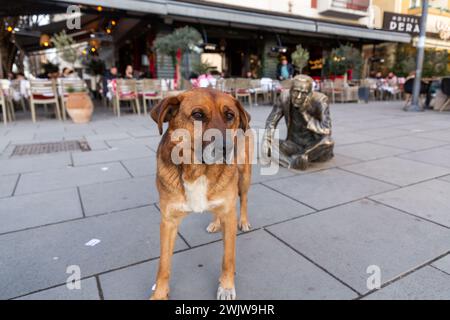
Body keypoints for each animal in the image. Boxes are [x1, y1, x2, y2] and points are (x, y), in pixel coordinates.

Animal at [149, 87, 251, 300]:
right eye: (197, 115)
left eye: (230, 115)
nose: (227, 149)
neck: (198, 170)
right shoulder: (168, 221)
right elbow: (163, 264)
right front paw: (160, 294)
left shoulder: (229, 215)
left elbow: (228, 258)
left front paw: (226, 287)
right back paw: (215, 223)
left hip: (245, 177)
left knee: (244, 199)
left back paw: (244, 221)